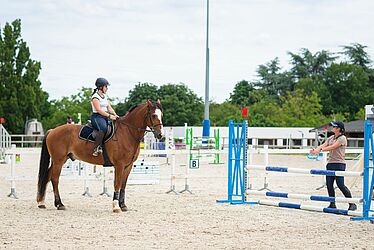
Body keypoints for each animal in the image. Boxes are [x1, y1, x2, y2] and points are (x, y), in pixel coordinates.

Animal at [36, 99, 164, 213]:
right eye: (153, 115)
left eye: (161, 115)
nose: (160, 135)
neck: (128, 132)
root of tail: (52, 130)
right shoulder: (119, 165)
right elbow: (117, 184)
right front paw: (116, 207)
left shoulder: (128, 166)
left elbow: (123, 185)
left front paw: (123, 205)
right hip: (58, 160)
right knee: (54, 179)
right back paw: (59, 204)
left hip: (61, 160)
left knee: (47, 176)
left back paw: (42, 202)